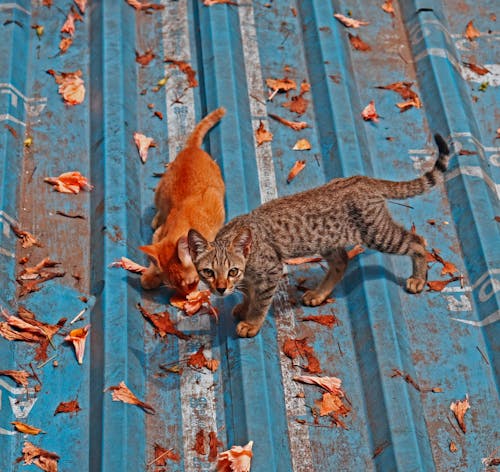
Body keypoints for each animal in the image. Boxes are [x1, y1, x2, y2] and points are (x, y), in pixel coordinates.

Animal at [141, 108, 227, 296]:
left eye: (193, 283)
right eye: (174, 286)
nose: (187, 296)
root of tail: (192, 148)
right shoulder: (158, 235)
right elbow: (155, 256)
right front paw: (151, 275)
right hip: (160, 191)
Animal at [188, 135, 450, 338]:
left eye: (232, 271)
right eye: (208, 272)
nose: (220, 289)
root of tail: (364, 179)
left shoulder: (271, 269)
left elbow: (261, 300)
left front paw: (252, 322)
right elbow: (249, 292)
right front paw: (243, 305)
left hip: (377, 234)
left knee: (417, 241)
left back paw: (418, 278)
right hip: (328, 239)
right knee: (341, 261)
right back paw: (319, 294)